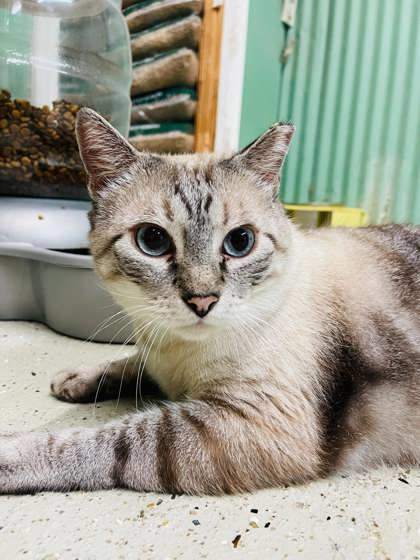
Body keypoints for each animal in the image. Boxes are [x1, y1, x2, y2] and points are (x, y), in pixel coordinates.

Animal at [0, 110, 420, 494]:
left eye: (240, 242)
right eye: (152, 240)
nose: (202, 301)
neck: (178, 356)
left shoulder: (252, 423)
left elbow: (113, 439)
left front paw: (13, 453)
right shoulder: (160, 358)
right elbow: (130, 364)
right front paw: (76, 380)